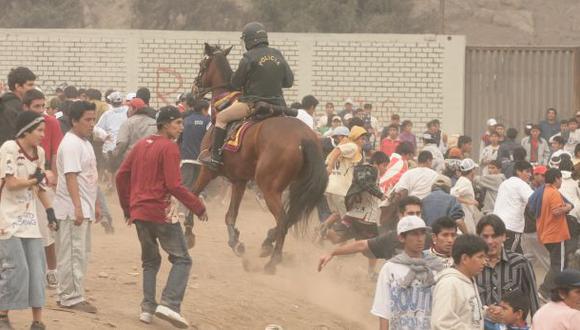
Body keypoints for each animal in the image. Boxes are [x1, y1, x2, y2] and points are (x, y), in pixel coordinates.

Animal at [190, 42, 326, 272]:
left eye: (202, 64)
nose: (193, 91)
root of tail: (304, 137)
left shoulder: (207, 170)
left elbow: (192, 194)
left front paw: (188, 232)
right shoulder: (239, 180)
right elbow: (230, 215)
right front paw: (236, 242)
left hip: (268, 186)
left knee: (283, 219)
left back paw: (273, 259)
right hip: (296, 187)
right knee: (290, 218)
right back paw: (267, 244)